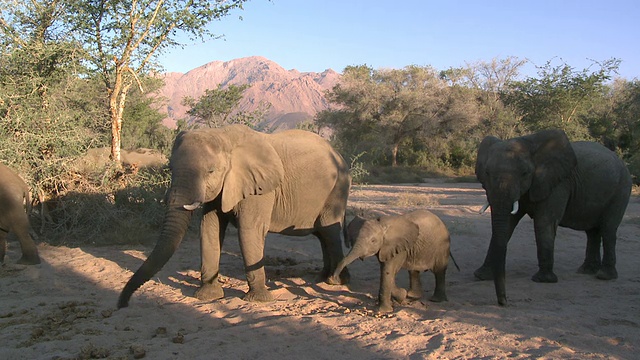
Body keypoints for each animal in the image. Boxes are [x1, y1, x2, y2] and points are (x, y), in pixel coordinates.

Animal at [117, 125, 352, 308]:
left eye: (211, 171)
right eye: (170, 168)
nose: (122, 304)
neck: (223, 136)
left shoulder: (259, 188)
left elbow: (250, 230)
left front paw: (259, 300)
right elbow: (209, 227)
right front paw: (207, 296)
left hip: (338, 186)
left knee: (330, 230)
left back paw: (336, 281)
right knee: (322, 234)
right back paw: (322, 277)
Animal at [476, 128, 632, 306]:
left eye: (524, 173)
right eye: (487, 172)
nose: (504, 302)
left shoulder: (558, 183)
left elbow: (544, 222)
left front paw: (543, 280)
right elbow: (507, 225)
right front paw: (481, 276)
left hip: (622, 189)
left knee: (608, 229)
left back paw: (604, 276)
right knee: (592, 232)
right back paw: (586, 271)